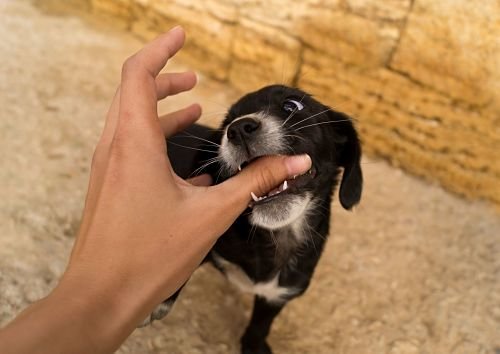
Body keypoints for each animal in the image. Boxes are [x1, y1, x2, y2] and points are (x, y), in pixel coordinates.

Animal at [143, 85, 362, 354]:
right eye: (226, 123)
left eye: (291, 105)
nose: (238, 128)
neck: (274, 238)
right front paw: (160, 299)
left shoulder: (279, 293)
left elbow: (261, 324)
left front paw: (254, 346)